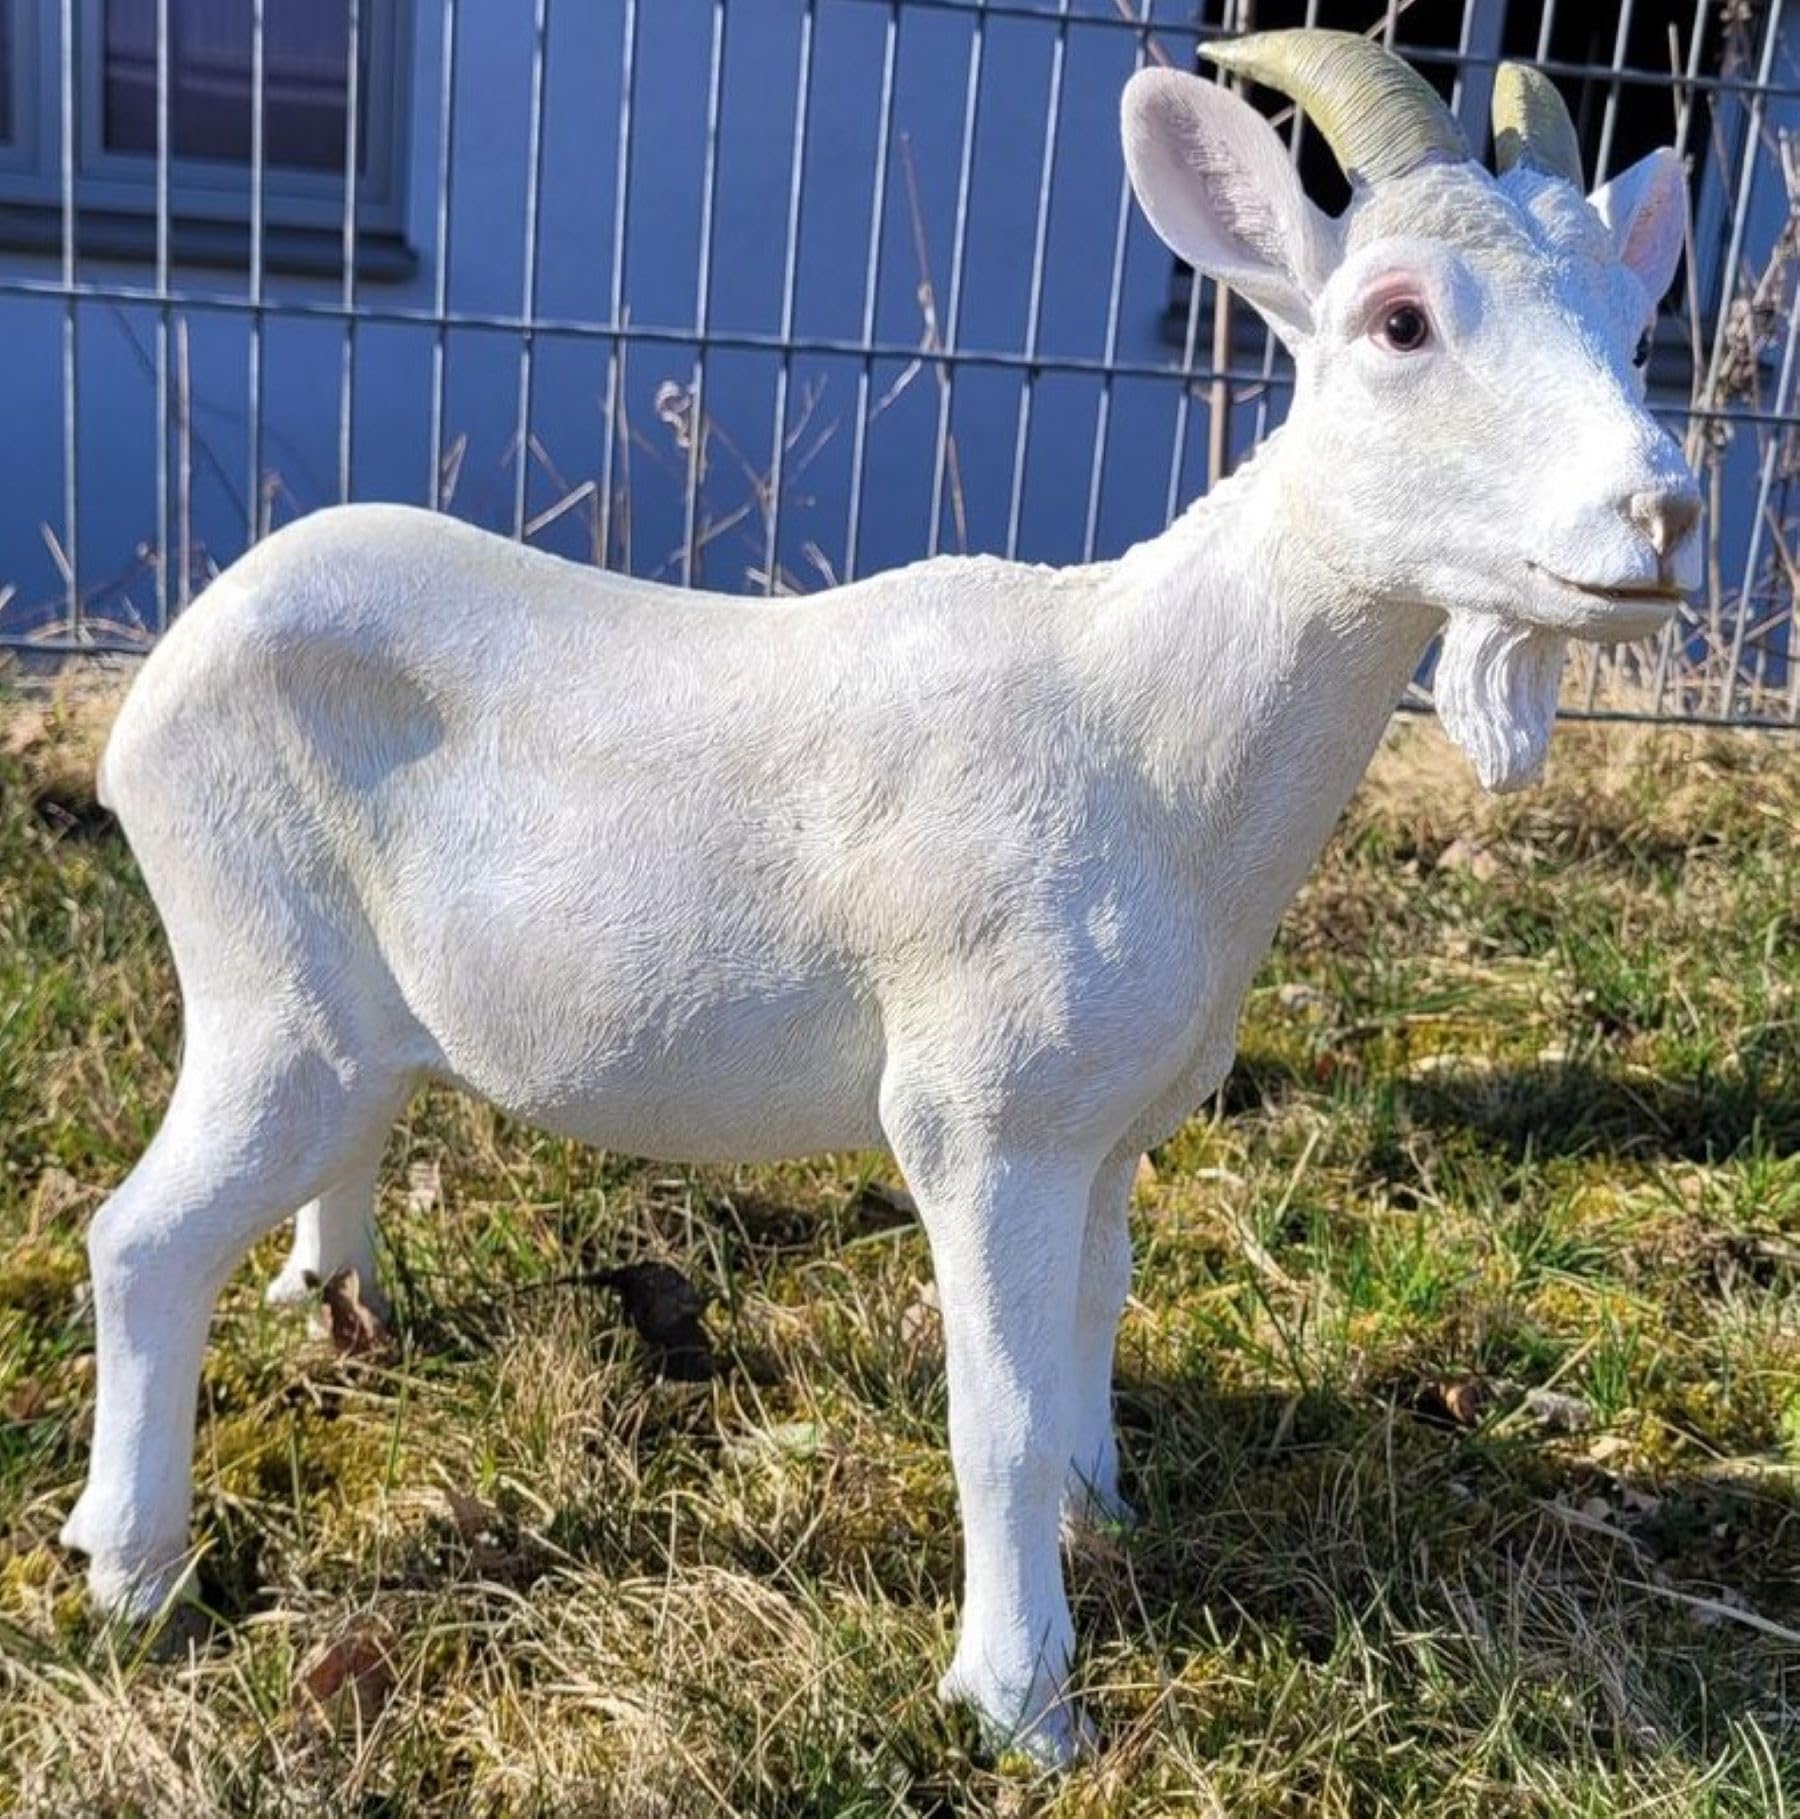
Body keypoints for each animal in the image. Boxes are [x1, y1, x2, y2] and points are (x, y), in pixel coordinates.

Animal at [63, 32, 1699, 1766]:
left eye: (1630, 316)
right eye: (1399, 318)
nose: (1662, 514)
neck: (1141, 721)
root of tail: (166, 675)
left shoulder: (1107, 1123)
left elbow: (1093, 1321)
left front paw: (1105, 1515)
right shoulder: (984, 1114)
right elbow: (995, 1405)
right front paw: (1023, 1699)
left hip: (353, 1012)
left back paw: (341, 1301)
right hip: (262, 976)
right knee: (141, 1240)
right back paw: (133, 1568)